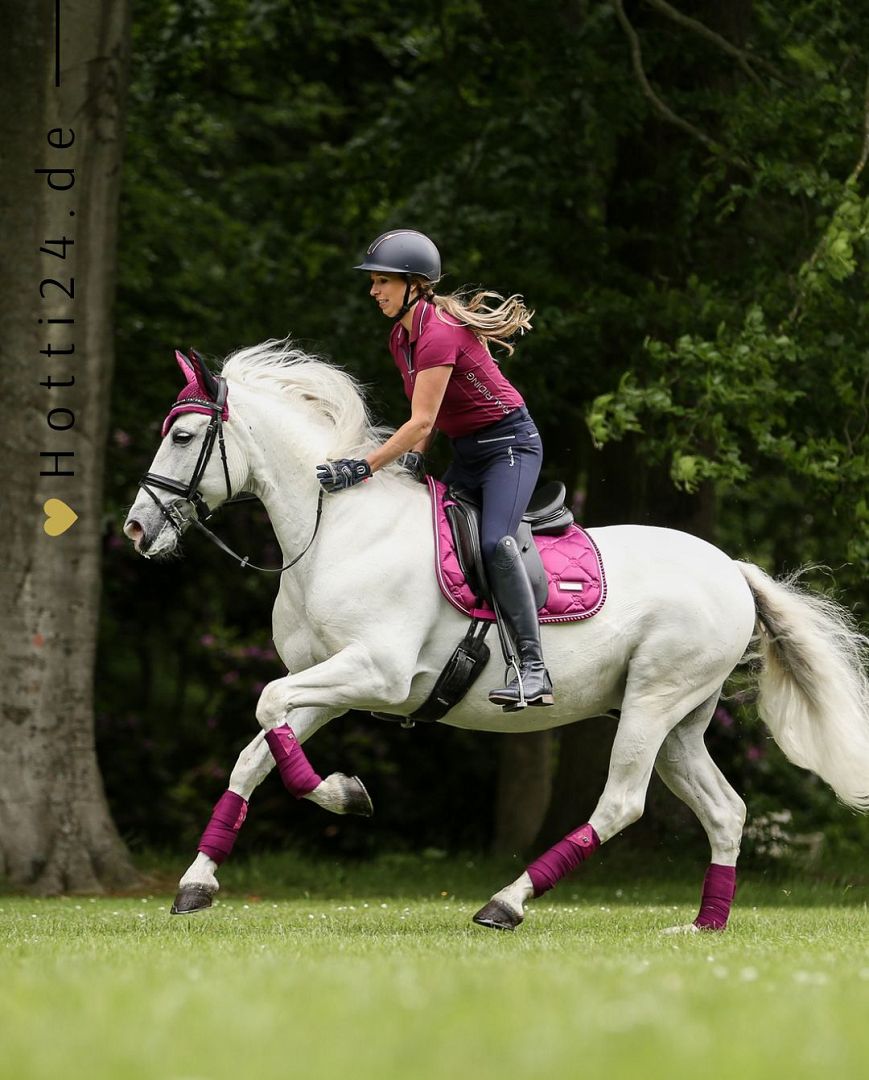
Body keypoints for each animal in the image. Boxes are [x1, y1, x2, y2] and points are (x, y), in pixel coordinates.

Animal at [123, 341, 867, 933]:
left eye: (183, 438)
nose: (135, 528)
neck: (334, 530)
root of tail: (733, 569)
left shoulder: (376, 672)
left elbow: (268, 705)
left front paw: (344, 795)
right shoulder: (332, 683)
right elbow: (256, 752)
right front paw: (196, 884)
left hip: (654, 701)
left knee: (621, 803)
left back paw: (505, 903)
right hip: (680, 719)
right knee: (726, 812)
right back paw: (703, 926)